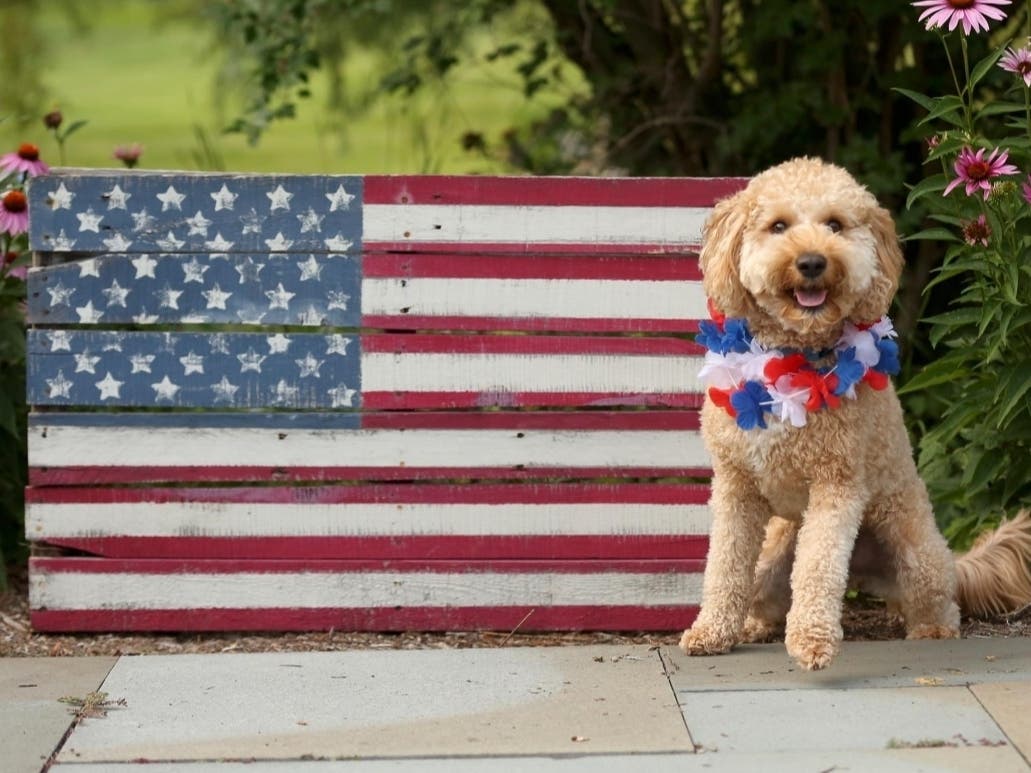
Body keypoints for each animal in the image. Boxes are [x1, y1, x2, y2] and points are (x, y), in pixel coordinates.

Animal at [680, 155, 1031, 671]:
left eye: (835, 224)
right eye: (778, 225)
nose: (811, 262)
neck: (789, 360)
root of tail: (866, 574)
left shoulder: (837, 484)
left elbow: (819, 566)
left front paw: (812, 641)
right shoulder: (735, 487)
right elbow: (724, 565)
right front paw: (711, 631)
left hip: (915, 549)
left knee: (937, 601)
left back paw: (930, 628)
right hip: (773, 552)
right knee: (763, 591)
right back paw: (753, 625)